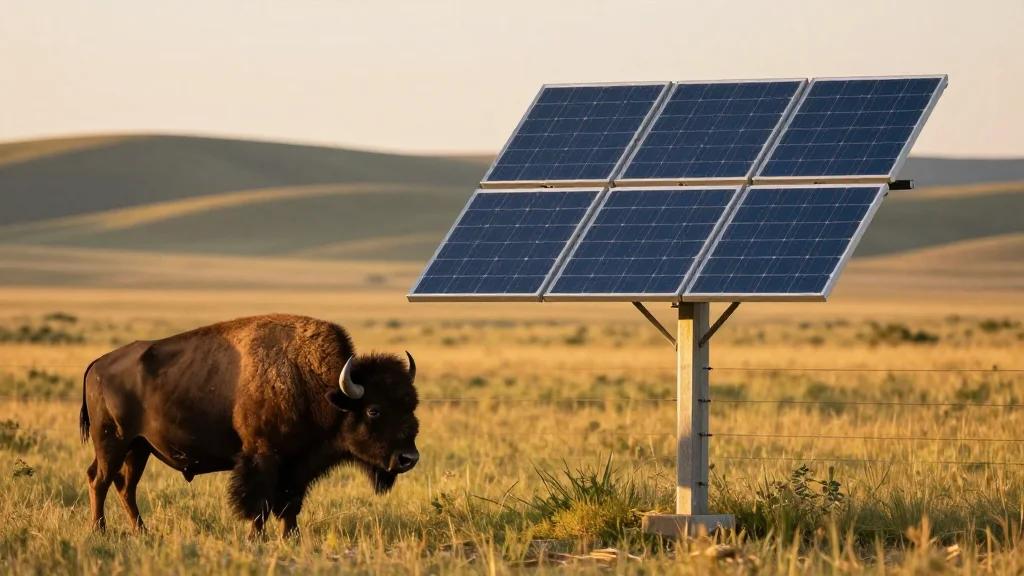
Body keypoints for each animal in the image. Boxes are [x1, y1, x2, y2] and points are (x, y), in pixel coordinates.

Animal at [79, 314, 419, 536]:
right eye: (374, 410)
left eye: (411, 405)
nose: (409, 458)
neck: (315, 385)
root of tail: (98, 363)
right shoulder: (263, 457)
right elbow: (259, 503)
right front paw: (256, 538)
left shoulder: (297, 467)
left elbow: (289, 505)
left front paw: (291, 538)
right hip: (113, 442)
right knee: (100, 480)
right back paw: (99, 531)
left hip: (139, 448)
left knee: (125, 487)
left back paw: (142, 532)